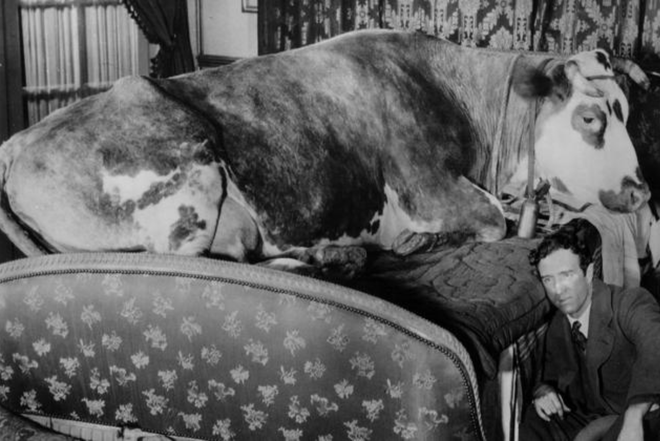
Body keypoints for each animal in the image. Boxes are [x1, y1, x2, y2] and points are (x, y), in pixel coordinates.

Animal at [0, 29, 651, 275]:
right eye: (590, 117)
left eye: (629, 111)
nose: (641, 190)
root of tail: (16, 141)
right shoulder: (424, 183)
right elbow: (492, 219)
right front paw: (416, 242)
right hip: (188, 186)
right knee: (198, 264)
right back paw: (339, 259)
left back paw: (337, 256)